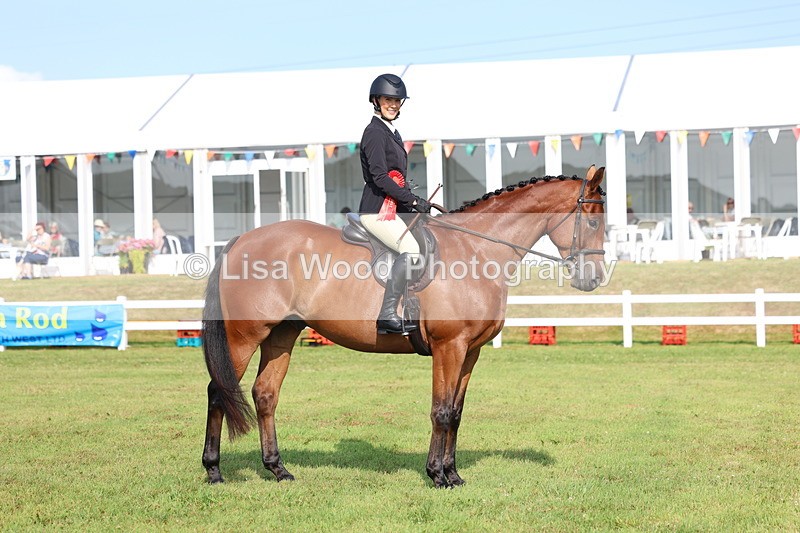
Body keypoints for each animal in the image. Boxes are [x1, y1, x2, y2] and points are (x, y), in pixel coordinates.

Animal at [201, 165, 607, 488]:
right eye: (592, 221)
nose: (594, 279)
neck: (476, 250)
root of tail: (241, 240)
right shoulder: (448, 347)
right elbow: (440, 411)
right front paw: (437, 476)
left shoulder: (470, 352)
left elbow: (456, 413)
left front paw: (453, 474)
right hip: (244, 336)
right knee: (219, 391)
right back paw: (214, 470)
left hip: (281, 335)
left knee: (265, 394)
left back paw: (278, 469)